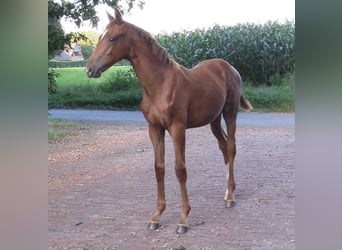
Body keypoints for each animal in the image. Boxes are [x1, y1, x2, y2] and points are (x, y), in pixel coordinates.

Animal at [86, 6, 251, 234]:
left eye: (111, 38)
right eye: (101, 36)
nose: (90, 69)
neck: (161, 84)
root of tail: (229, 68)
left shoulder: (177, 129)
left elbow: (180, 169)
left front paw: (183, 219)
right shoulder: (155, 129)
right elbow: (159, 168)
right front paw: (156, 216)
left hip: (230, 113)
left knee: (232, 147)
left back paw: (231, 197)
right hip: (214, 120)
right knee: (224, 147)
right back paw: (227, 192)